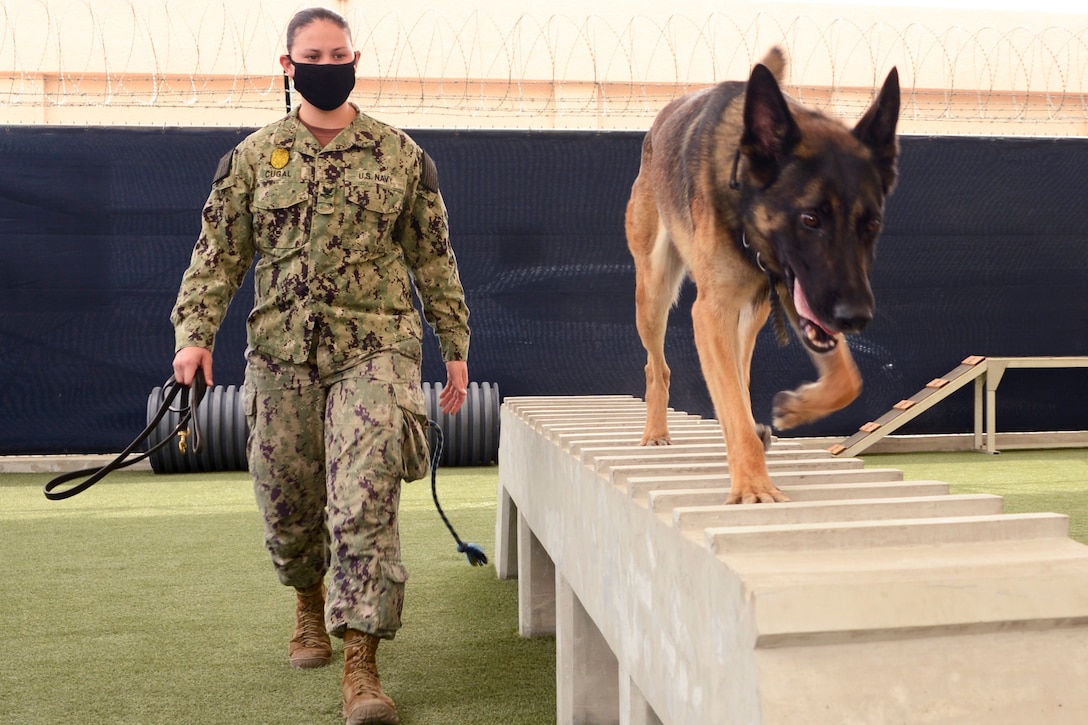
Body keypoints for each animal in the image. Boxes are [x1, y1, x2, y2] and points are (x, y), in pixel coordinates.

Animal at [626, 47, 896, 502]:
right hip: (653, 294)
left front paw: (796, 407)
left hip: (754, 313)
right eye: (810, 219)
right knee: (656, 367)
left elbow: (848, 379)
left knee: (740, 365)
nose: (855, 317)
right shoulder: (711, 312)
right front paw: (753, 484)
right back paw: (656, 431)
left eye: (872, 224)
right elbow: (731, 406)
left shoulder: (798, 295)